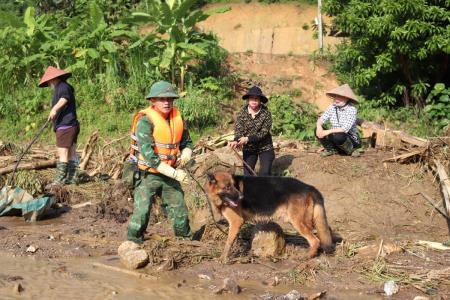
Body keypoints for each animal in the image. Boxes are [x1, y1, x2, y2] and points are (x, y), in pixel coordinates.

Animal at [205, 169, 334, 262]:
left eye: (234, 186)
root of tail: (309, 187)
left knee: (315, 240)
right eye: (227, 187)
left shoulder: (236, 222)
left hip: (298, 222)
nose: (241, 197)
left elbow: (228, 243)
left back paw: (307, 257)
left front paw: (222, 258)